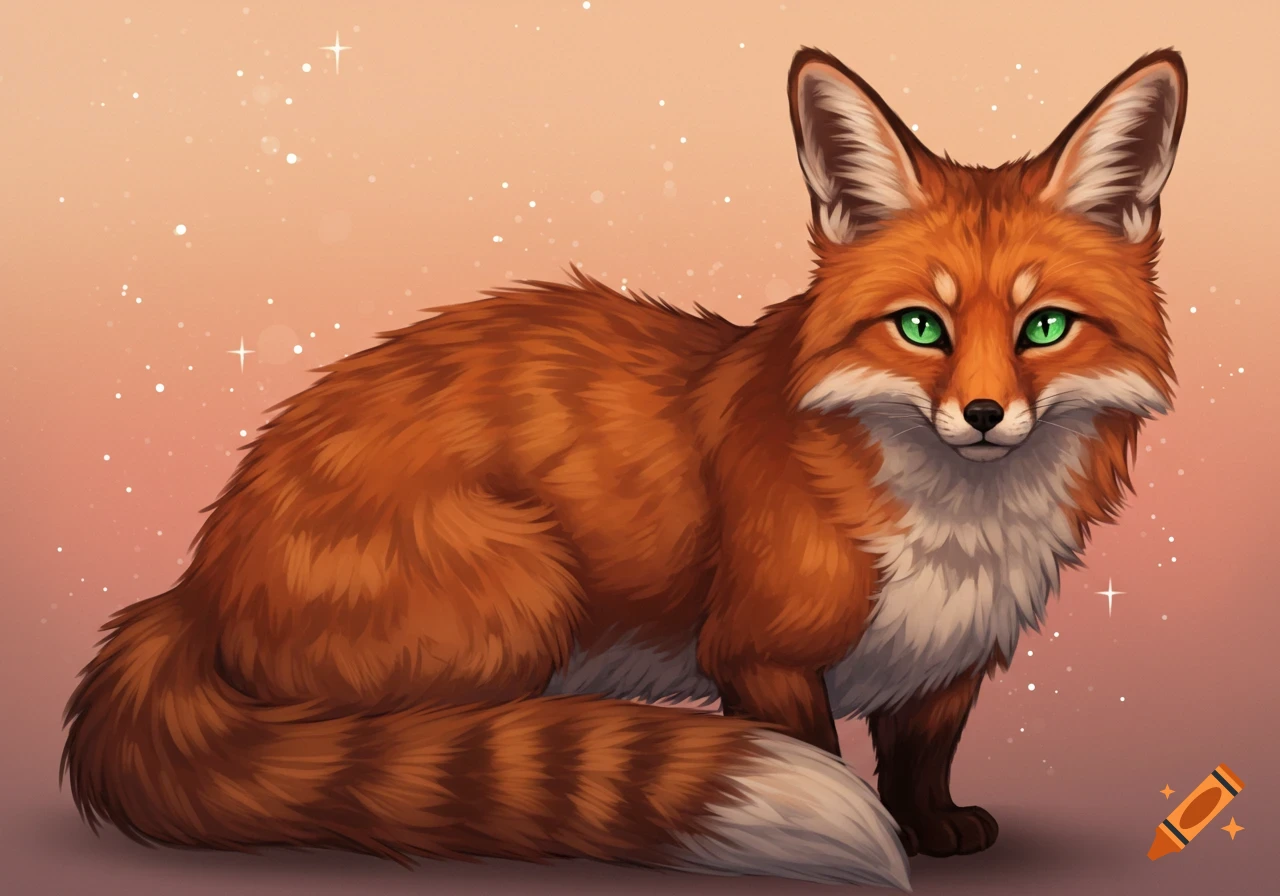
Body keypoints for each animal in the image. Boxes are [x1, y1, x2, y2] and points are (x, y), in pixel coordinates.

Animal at [61, 47, 1187, 890]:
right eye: (920, 326)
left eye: (1045, 327)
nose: (984, 415)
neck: (959, 528)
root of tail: (197, 578)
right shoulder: (758, 653)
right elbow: (817, 751)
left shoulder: (948, 661)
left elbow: (919, 757)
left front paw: (931, 826)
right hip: (524, 586)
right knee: (400, 735)